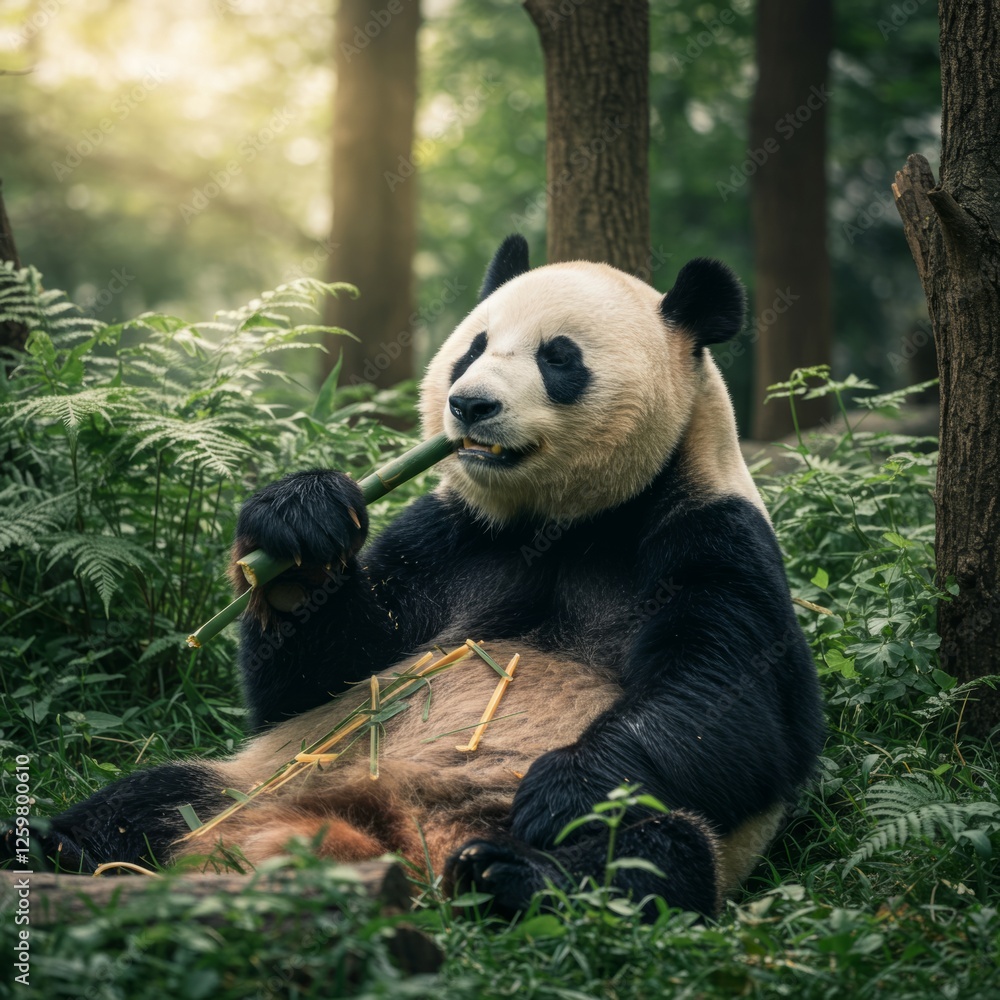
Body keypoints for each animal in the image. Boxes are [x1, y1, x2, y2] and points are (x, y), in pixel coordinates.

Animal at [13, 236, 823, 918]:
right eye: (473, 348)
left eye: (558, 358)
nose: (470, 405)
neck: (566, 521)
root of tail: (395, 835)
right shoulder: (453, 537)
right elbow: (319, 677)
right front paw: (297, 528)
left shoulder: (711, 534)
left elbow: (735, 707)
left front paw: (564, 788)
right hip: (272, 776)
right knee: (152, 797)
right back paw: (51, 848)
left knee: (650, 855)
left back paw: (509, 873)